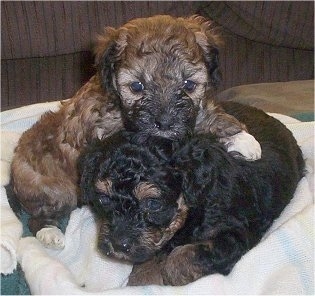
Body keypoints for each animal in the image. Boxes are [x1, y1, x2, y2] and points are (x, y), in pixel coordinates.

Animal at [10, 15, 262, 249]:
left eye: (189, 85)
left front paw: (241, 137)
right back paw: (50, 233)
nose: (164, 122)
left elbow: (202, 114)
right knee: (38, 216)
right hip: (56, 190)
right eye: (137, 86)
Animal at [79, 101, 306, 284]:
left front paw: (169, 276)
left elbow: (182, 256)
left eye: (153, 204)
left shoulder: (235, 232)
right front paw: (143, 277)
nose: (119, 245)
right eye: (103, 199)